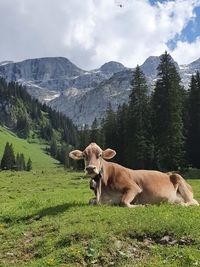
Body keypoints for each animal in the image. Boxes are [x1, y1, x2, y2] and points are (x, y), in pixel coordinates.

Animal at [69, 143, 198, 208]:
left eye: (100, 155)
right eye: (84, 155)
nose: (90, 168)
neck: (103, 188)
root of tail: (169, 173)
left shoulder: (134, 187)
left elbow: (124, 202)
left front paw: (141, 205)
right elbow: (91, 201)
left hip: (179, 178)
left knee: (193, 202)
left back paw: (181, 204)